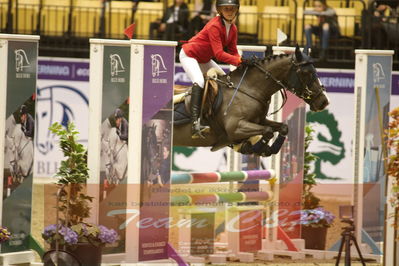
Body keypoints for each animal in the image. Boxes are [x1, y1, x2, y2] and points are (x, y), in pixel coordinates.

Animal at [173, 45, 330, 156]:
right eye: (306, 73)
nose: (323, 102)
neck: (250, 89)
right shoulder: (236, 127)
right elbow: (268, 131)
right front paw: (256, 148)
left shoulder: (260, 120)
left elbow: (283, 127)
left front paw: (267, 150)